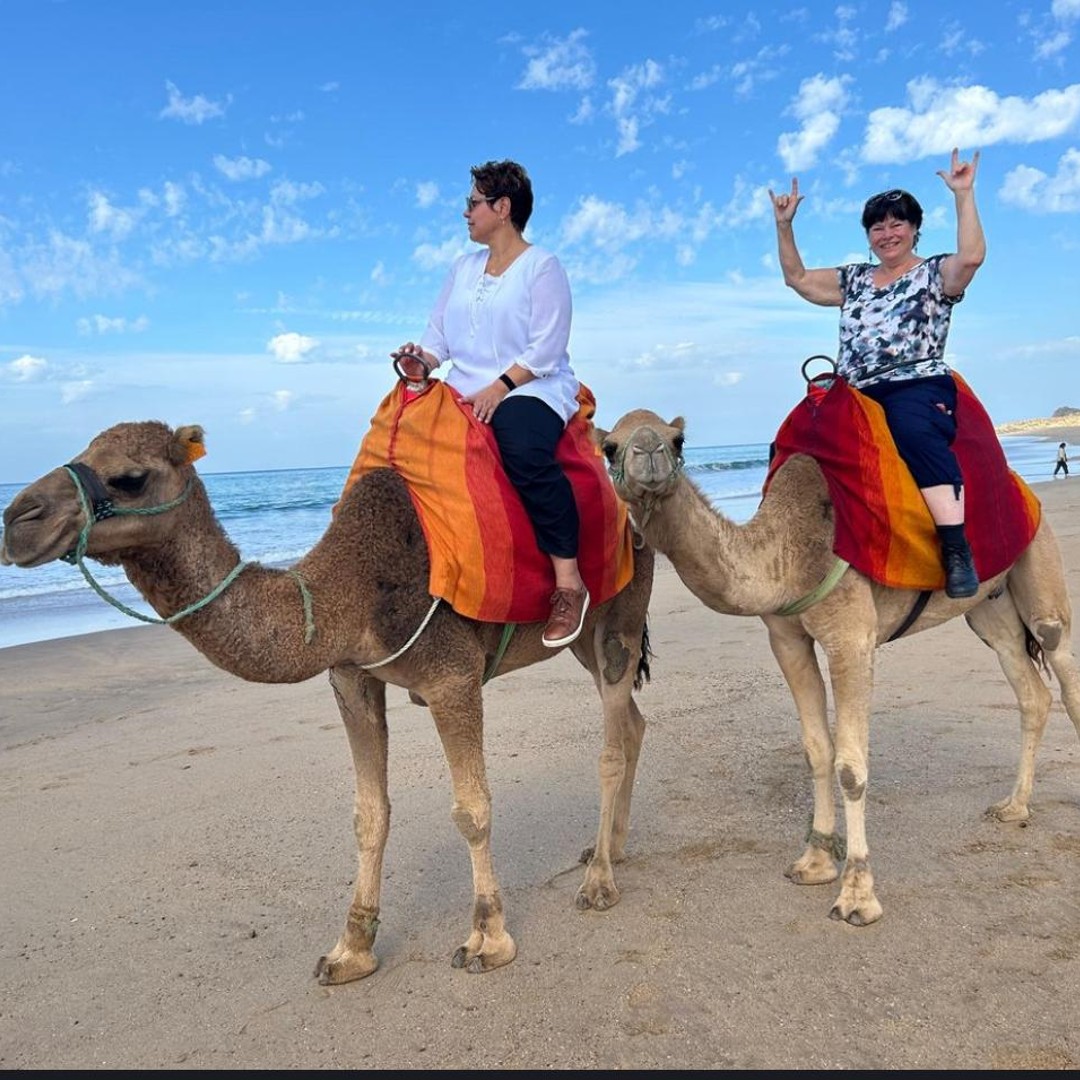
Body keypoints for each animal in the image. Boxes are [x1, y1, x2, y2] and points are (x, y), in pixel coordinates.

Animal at [0, 420, 655, 983]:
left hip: (620, 611)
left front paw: (488, 941)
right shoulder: (351, 679)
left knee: (610, 740)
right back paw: (612, 849)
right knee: (632, 722)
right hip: (581, 639)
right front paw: (350, 951)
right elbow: (369, 815)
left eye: (129, 477)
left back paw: (598, 883)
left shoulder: (452, 677)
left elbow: (471, 810)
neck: (351, 590)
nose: (16, 518)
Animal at [598, 408, 1080, 926]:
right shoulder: (787, 638)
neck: (787, 553)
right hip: (989, 608)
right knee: (1030, 690)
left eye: (677, 439)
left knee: (1061, 662)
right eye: (609, 447)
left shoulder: (852, 638)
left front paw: (857, 895)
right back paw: (1013, 807)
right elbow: (816, 749)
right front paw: (813, 861)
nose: (649, 453)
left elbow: (852, 764)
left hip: (1040, 567)